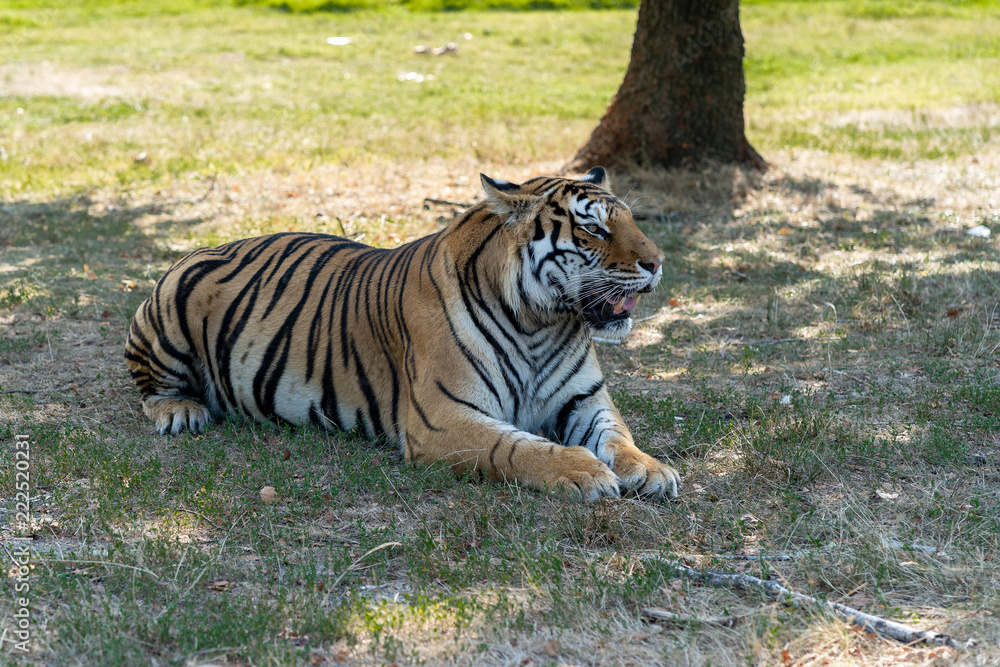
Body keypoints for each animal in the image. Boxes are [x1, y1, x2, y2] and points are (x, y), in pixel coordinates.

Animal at [124, 167, 681, 501]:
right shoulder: (442, 419)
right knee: (150, 388)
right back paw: (181, 412)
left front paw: (653, 469)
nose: (657, 262)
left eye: (630, 220)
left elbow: (618, 436)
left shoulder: (585, 400)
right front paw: (583, 472)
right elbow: (518, 448)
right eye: (593, 229)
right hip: (168, 312)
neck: (540, 324)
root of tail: (210, 244)